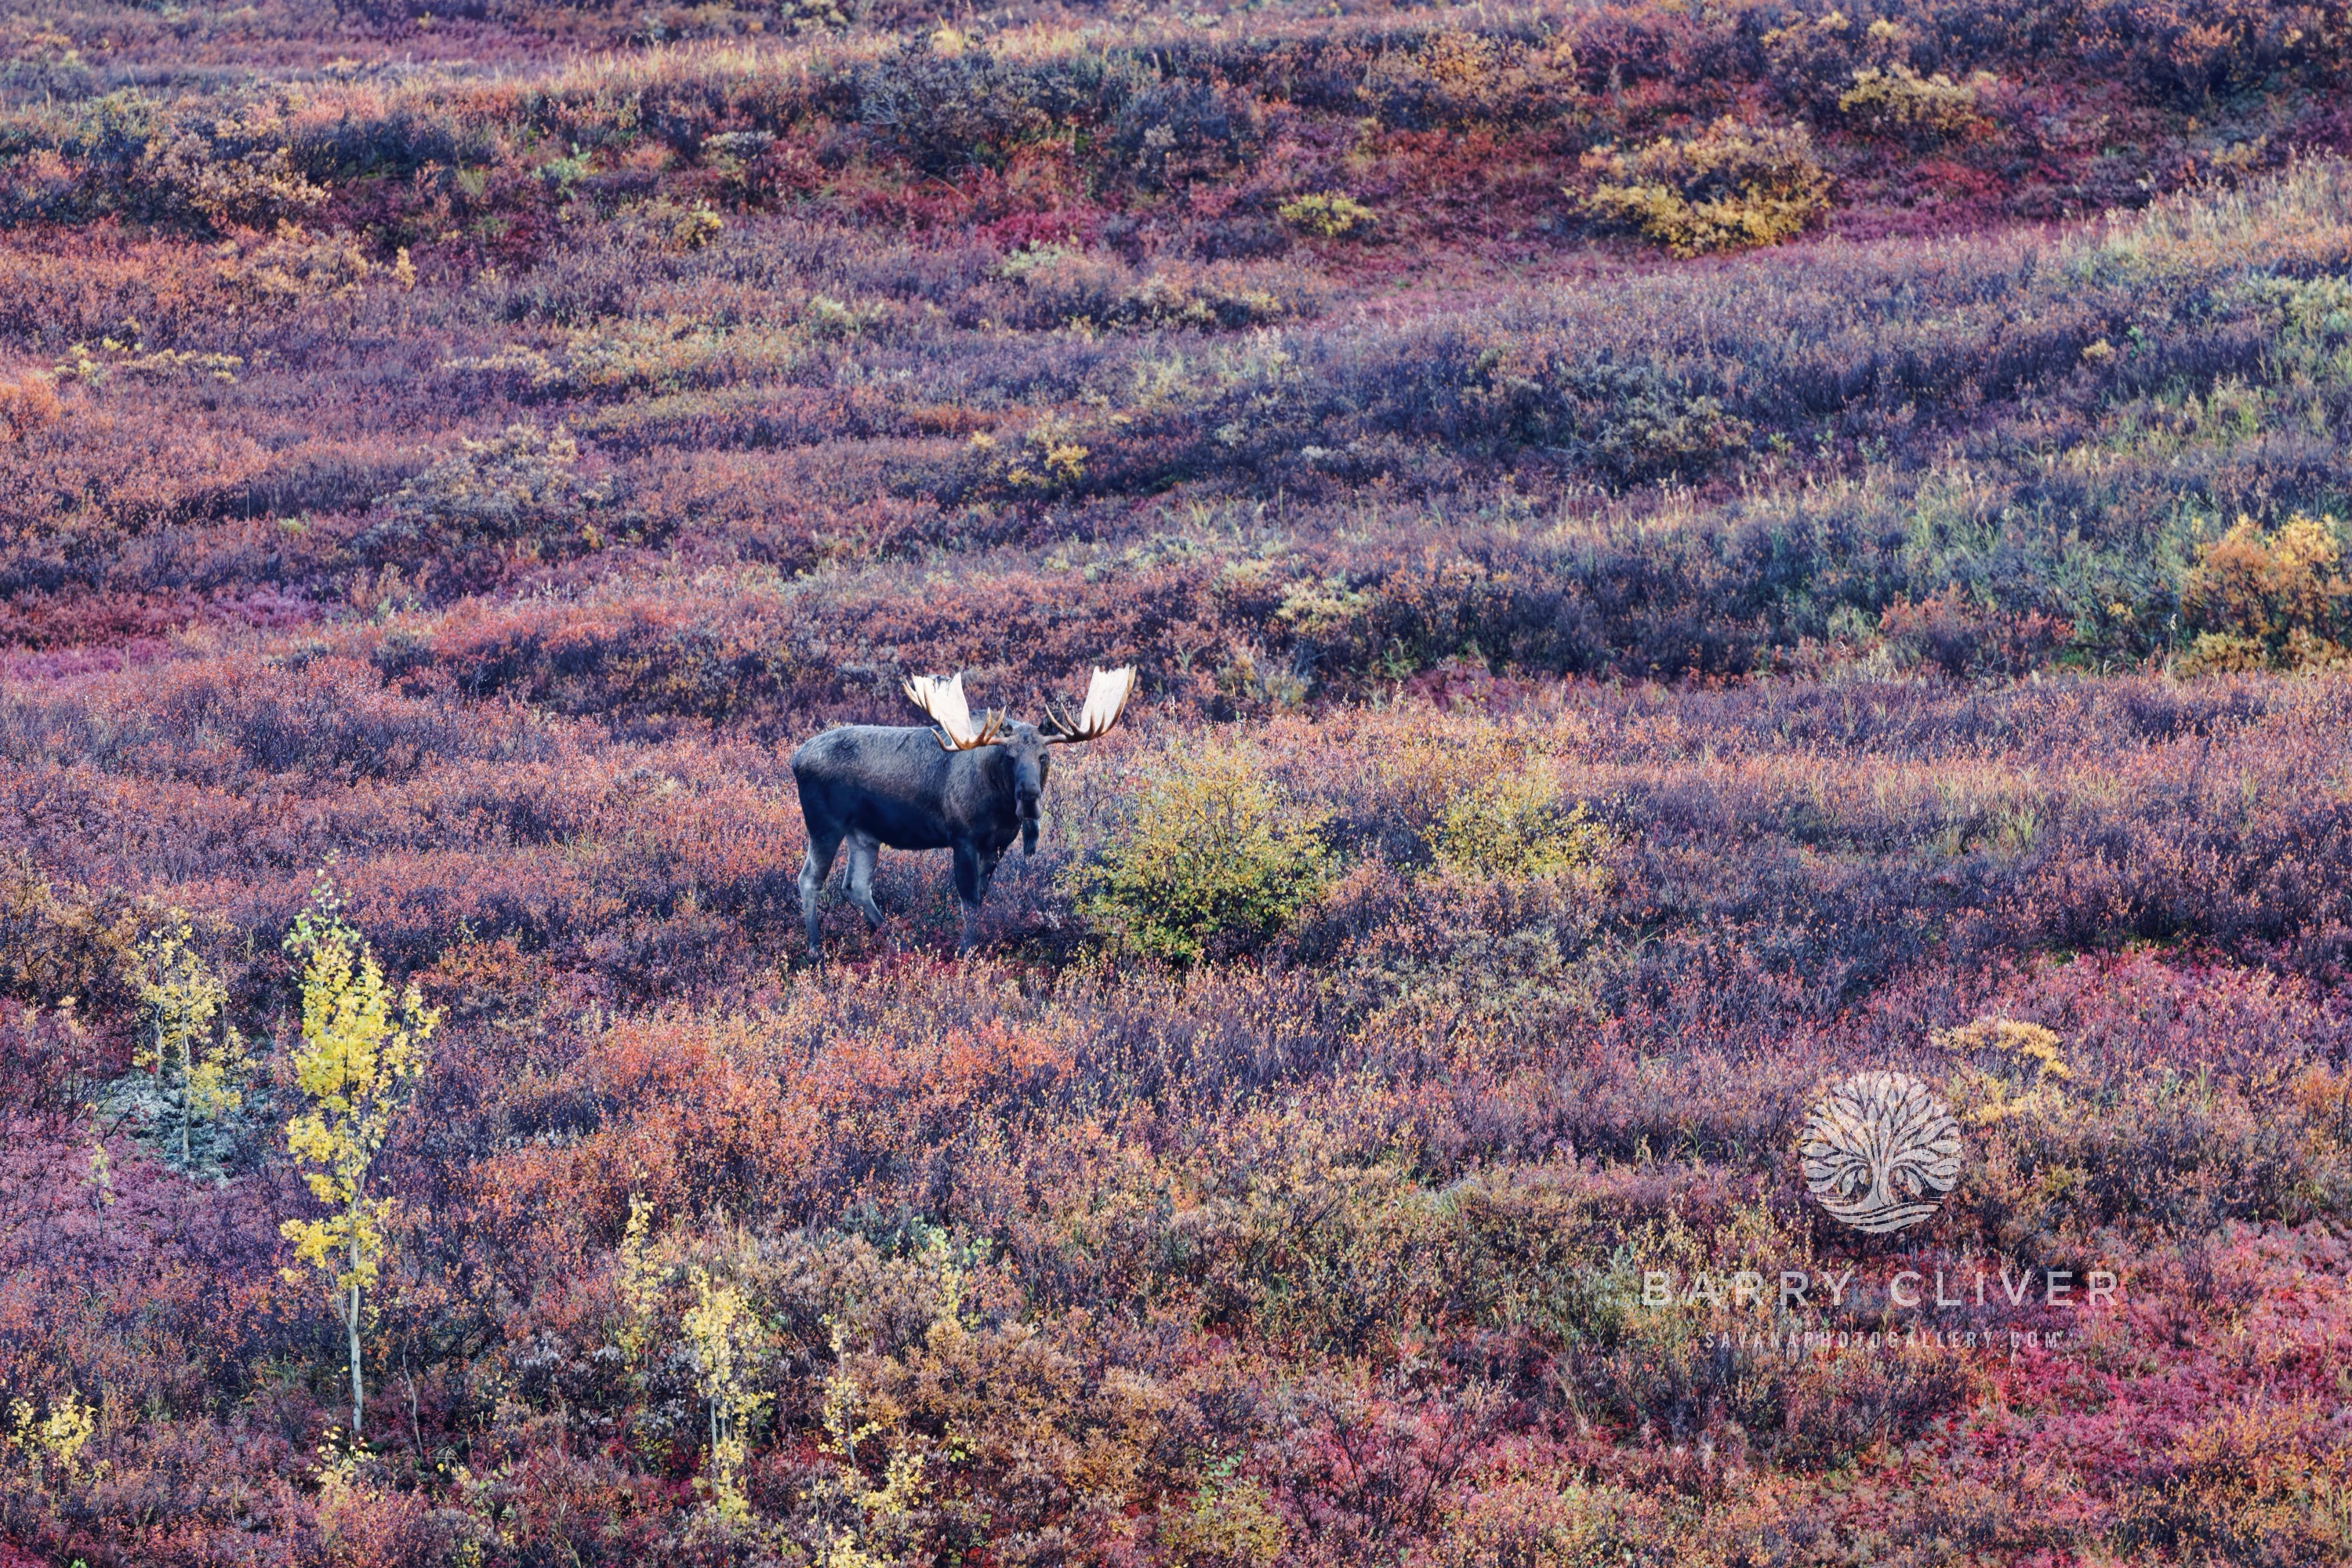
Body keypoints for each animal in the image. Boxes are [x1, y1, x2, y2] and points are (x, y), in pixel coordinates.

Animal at [790, 667, 1138, 959]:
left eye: (1044, 755)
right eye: (1009, 756)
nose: (1028, 797)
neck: (999, 807)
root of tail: (795, 758)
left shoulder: (997, 845)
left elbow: (981, 897)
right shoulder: (962, 838)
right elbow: (968, 898)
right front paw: (964, 952)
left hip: (864, 834)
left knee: (856, 885)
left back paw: (897, 939)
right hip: (825, 826)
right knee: (810, 879)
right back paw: (815, 950)